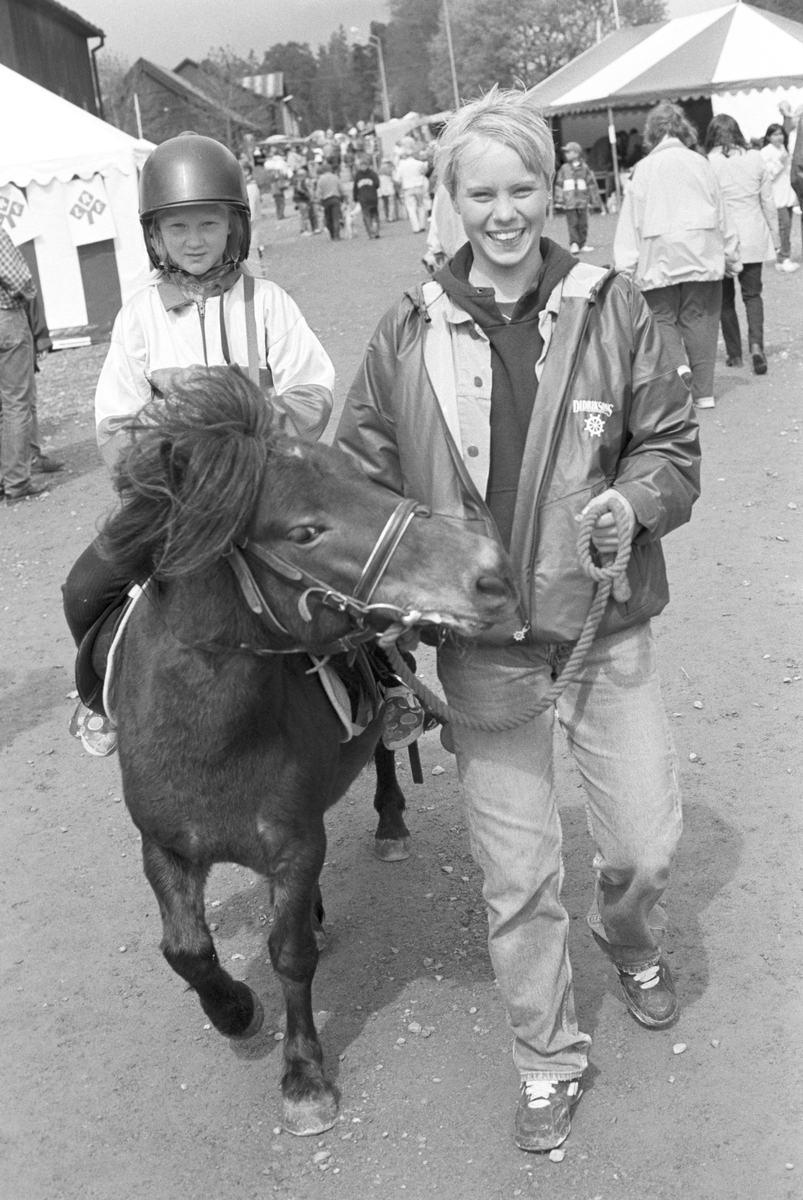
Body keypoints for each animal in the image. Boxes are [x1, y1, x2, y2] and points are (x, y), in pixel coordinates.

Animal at [98, 369, 513, 1137]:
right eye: (305, 531)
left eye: (363, 482)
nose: (489, 570)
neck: (211, 742)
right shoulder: (165, 847)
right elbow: (187, 950)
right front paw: (233, 1011)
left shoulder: (294, 846)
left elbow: (290, 956)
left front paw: (303, 1077)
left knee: (383, 755)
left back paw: (389, 823)